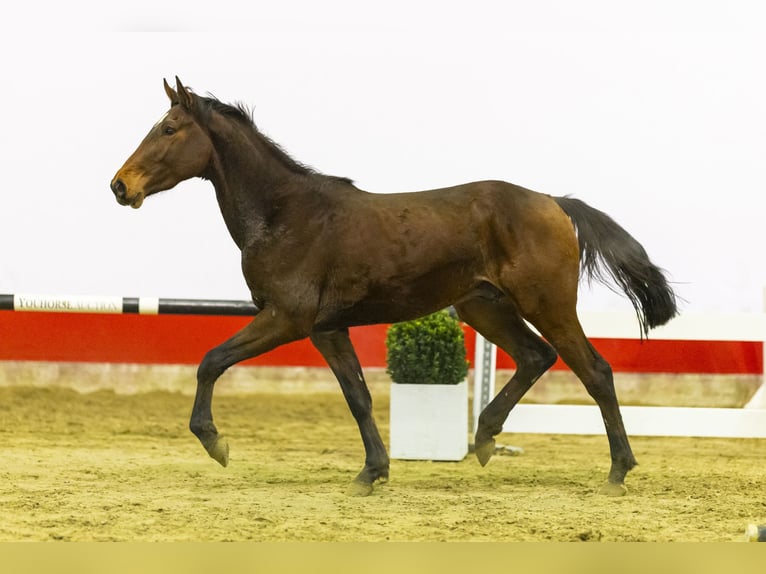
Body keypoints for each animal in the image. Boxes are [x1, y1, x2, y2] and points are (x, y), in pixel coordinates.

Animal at [109, 77, 680, 500]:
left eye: (168, 128)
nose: (120, 185)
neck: (284, 215)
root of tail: (554, 202)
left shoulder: (286, 319)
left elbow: (210, 360)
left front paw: (216, 443)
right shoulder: (328, 328)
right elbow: (358, 396)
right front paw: (372, 473)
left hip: (548, 304)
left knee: (595, 371)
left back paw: (617, 472)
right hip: (484, 308)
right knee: (536, 357)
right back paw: (485, 438)